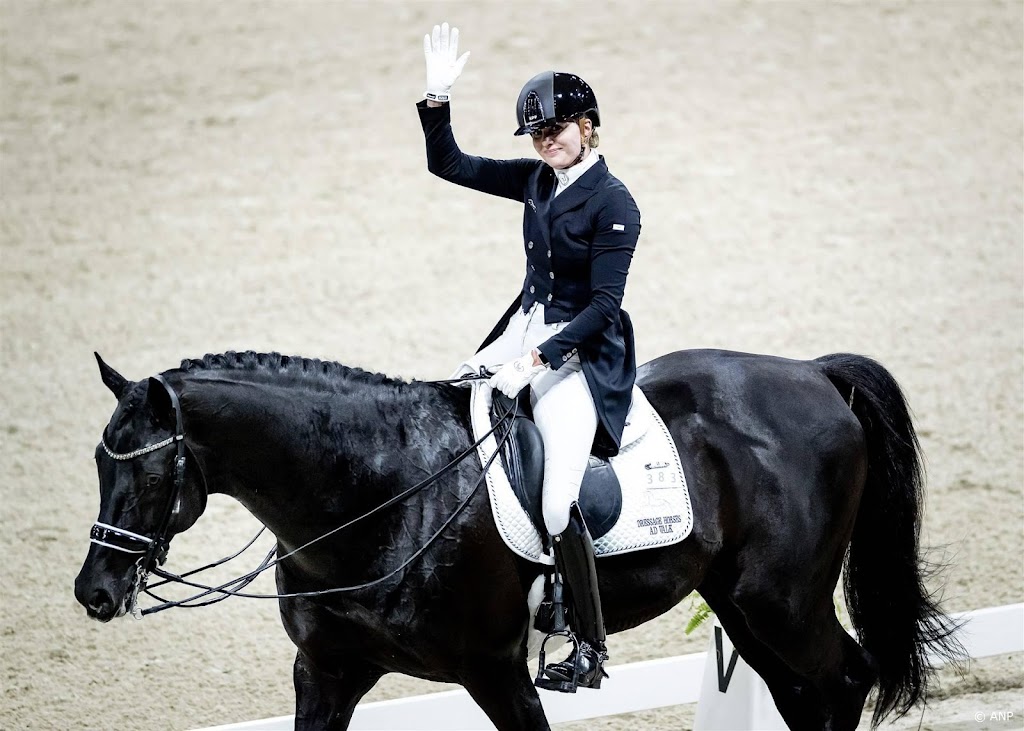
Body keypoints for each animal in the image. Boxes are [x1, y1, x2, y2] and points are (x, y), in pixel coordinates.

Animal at [74, 350, 958, 724]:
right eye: (96, 459)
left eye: (148, 470)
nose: (94, 592)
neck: (376, 492)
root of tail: (812, 373)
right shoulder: (326, 670)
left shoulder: (494, 669)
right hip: (742, 606)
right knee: (806, 693)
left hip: (780, 601)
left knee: (843, 680)